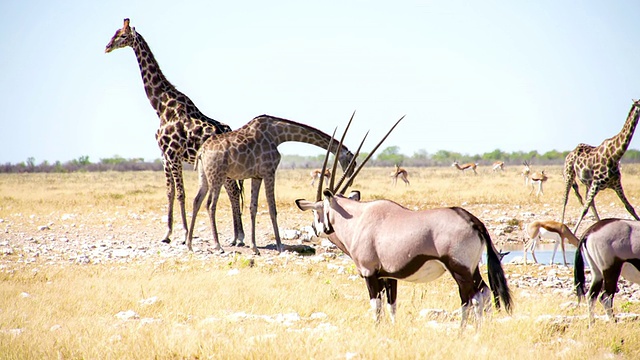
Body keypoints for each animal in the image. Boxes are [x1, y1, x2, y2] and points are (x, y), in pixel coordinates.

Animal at [105, 18, 245, 246]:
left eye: (123, 36)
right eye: (115, 33)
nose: (107, 47)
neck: (161, 106)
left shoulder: (173, 154)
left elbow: (181, 193)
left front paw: (184, 234)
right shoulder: (164, 155)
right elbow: (169, 192)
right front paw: (167, 234)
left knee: (233, 191)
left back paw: (239, 237)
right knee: (232, 191)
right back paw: (236, 237)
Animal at [186, 114, 356, 255]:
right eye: (350, 159)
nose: (351, 173)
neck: (278, 134)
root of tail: (201, 151)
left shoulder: (256, 176)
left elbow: (253, 208)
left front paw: (254, 247)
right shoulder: (269, 172)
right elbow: (272, 208)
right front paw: (280, 246)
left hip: (204, 177)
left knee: (196, 201)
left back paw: (189, 244)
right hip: (217, 177)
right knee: (210, 205)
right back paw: (218, 246)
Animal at [298, 116, 512, 332]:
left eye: (316, 211)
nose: (314, 230)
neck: (356, 219)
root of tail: (472, 220)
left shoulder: (369, 273)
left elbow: (376, 307)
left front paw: (377, 328)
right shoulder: (388, 276)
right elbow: (391, 307)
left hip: (459, 270)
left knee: (471, 298)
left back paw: (465, 331)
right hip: (472, 268)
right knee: (484, 292)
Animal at [560, 99, 640, 233]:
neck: (615, 155)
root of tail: (569, 154)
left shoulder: (616, 184)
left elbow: (630, 208)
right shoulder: (596, 183)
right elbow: (584, 210)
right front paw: (574, 232)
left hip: (587, 183)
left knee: (591, 203)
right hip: (569, 175)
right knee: (565, 199)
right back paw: (561, 224)